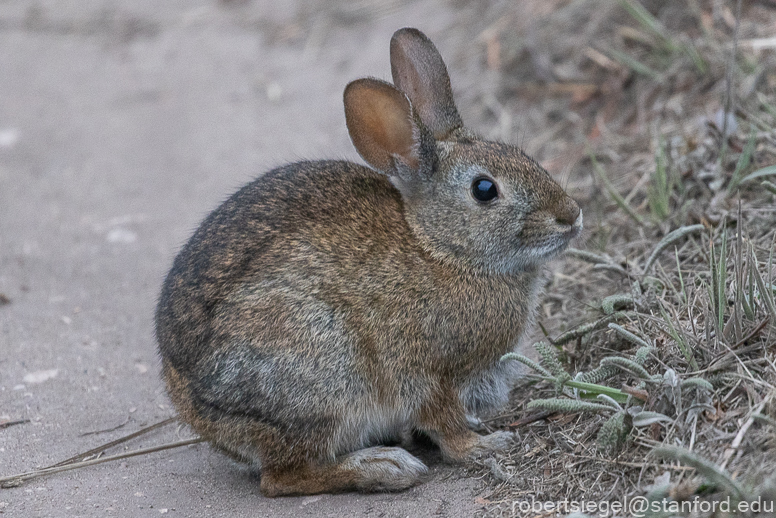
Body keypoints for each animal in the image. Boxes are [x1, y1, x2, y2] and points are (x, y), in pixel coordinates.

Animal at [155, 28, 580, 500]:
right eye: (485, 189)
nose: (572, 215)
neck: (440, 248)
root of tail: (194, 406)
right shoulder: (427, 372)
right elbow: (444, 423)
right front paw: (485, 446)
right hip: (322, 379)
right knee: (282, 476)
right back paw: (383, 467)